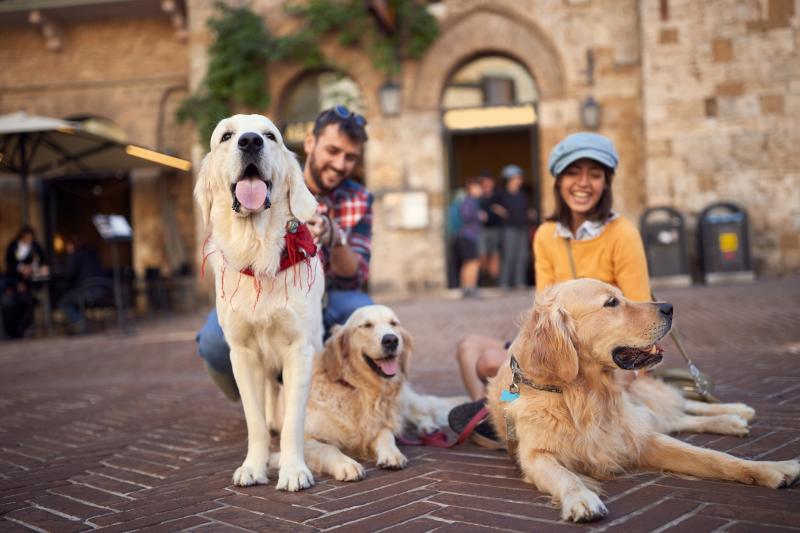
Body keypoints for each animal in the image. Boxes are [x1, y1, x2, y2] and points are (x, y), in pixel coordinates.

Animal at [195, 113, 324, 490]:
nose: (250, 141)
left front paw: (294, 470)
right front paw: (253, 466)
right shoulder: (243, 354)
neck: (258, 249)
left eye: (270, 135)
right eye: (226, 136)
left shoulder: (300, 350)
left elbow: (294, 421)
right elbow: (254, 421)